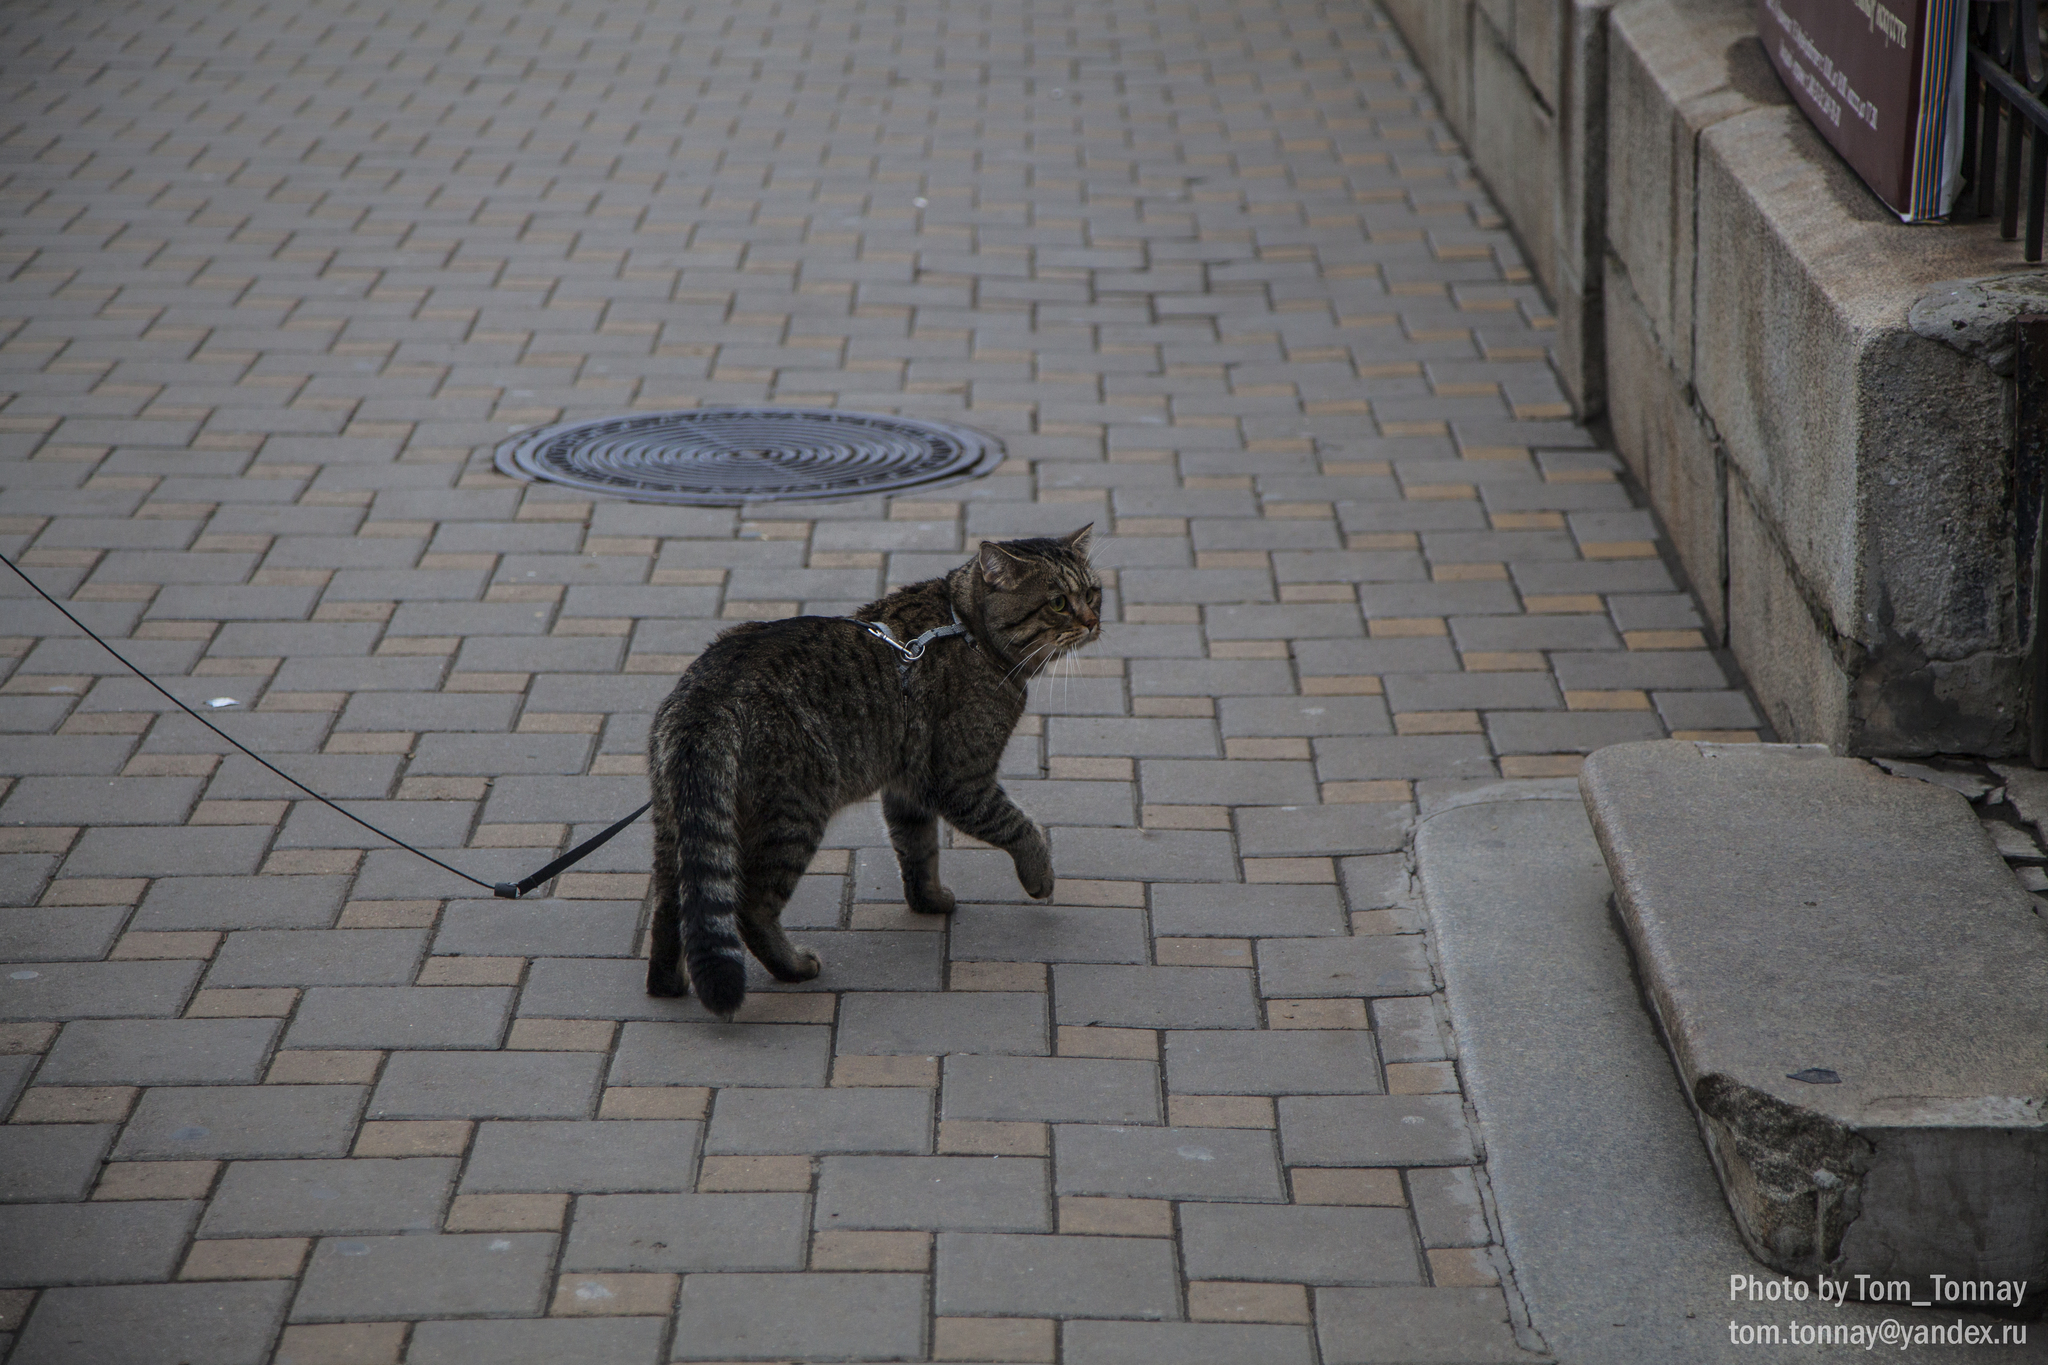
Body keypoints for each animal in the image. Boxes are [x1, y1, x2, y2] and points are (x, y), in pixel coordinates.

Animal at [651, 523, 1105, 1015]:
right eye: (1058, 602)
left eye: (1092, 593)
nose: (1092, 621)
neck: (967, 630)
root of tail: (707, 698)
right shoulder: (961, 781)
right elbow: (1020, 826)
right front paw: (1040, 877)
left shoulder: (907, 786)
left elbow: (919, 850)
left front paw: (930, 901)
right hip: (792, 819)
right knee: (749, 907)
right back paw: (793, 967)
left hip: (679, 828)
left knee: (674, 905)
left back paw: (667, 983)